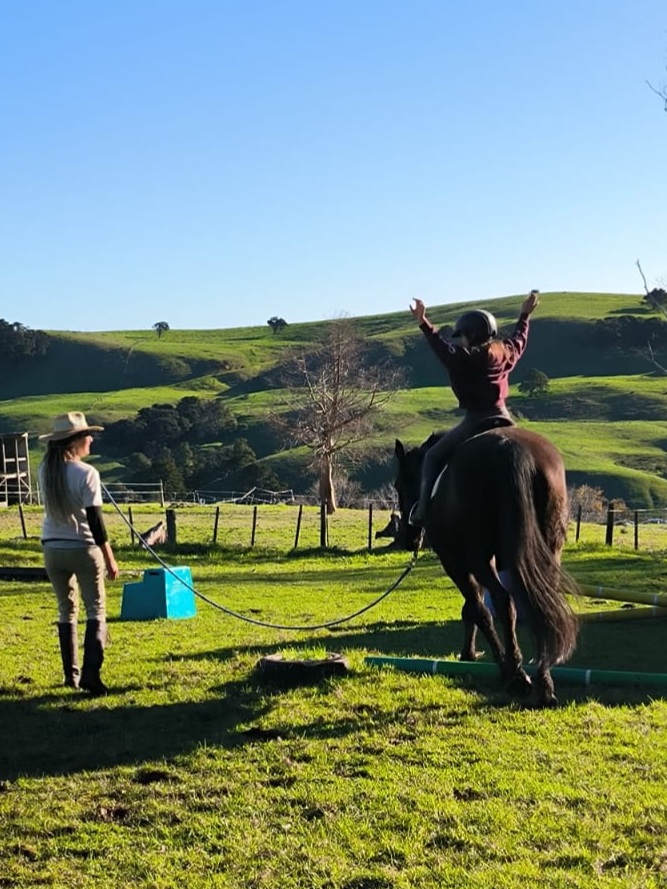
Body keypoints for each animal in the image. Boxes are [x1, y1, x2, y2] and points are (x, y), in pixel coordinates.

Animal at [393, 427, 580, 706]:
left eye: (398, 485)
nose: (409, 539)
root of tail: (513, 451)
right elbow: (472, 607)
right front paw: (469, 653)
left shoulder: (456, 561)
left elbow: (477, 608)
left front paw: (490, 661)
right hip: (546, 552)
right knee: (540, 605)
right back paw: (544, 684)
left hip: (478, 558)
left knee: (505, 601)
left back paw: (515, 675)